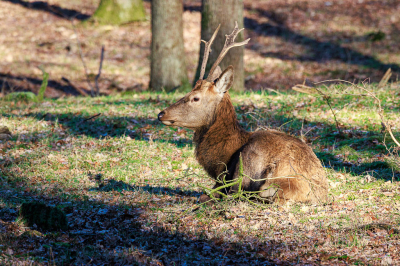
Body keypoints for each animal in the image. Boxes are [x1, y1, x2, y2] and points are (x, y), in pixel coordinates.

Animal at [157, 22, 328, 204]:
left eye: (195, 98)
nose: (161, 114)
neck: (219, 161)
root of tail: (318, 194)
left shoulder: (229, 176)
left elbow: (209, 194)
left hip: (252, 164)